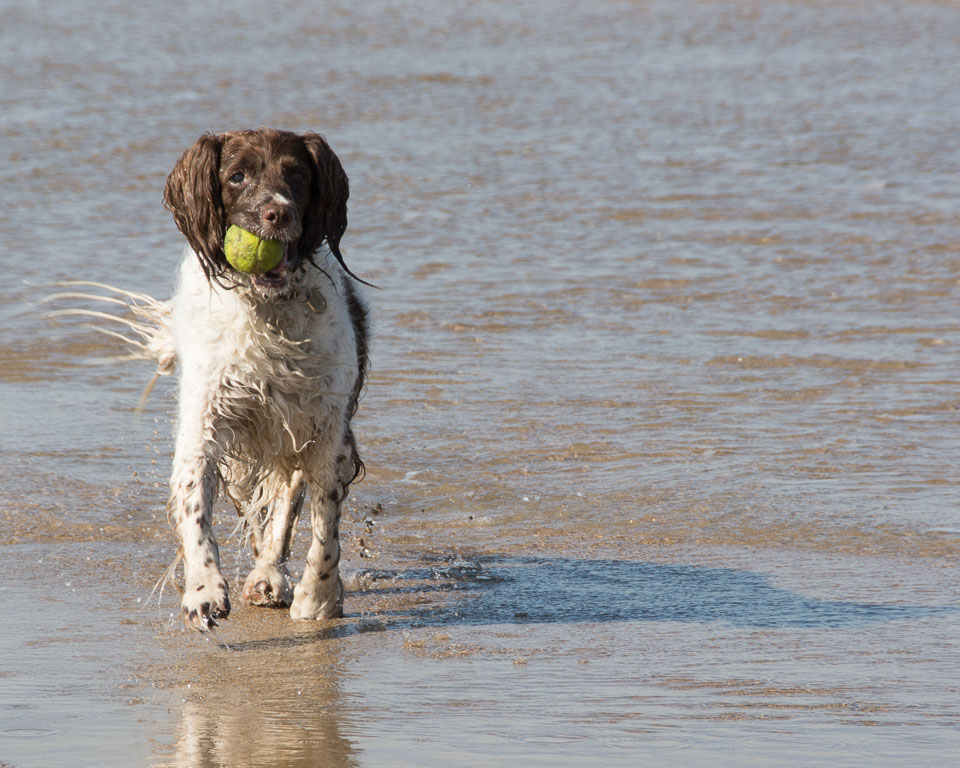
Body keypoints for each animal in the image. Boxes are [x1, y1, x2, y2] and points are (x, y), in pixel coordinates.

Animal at [57, 127, 368, 632]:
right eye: (237, 176)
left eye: (298, 175)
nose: (278, 212)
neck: (268, 312)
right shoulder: (206, 423)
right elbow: (196, 506)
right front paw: (203, 590)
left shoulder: (326, 429)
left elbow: (323, 524)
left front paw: (318, 598)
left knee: (285, 502)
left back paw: (271, 577)